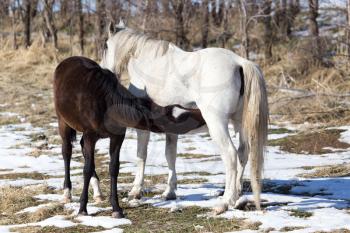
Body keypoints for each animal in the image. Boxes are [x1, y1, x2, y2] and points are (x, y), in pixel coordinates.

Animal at [53, 56, 204, 218]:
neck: (107, 103)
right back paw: (67, 194)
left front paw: (116, 208)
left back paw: (98, 192)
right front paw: (82, 209)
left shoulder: (117, 137)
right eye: (180, 118)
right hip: (63, 122)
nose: (200, 116)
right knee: (67, 151)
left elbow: (114, 168)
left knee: (81, 148)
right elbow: (87, 169)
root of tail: (67, 61)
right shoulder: (90, 136)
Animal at [96, 22, 268, 214]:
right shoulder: (171, 129)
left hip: (217, 124)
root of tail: (239, 63)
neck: (150, 65)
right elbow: (170, 155)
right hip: (239, 123)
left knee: (230, 156)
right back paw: (237, 198)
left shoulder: (143, 128)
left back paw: (224, 203)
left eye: (105, 46)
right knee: (242, 154)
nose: (104, 70)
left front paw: (135, 191)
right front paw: (169, 192)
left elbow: (141, 155)